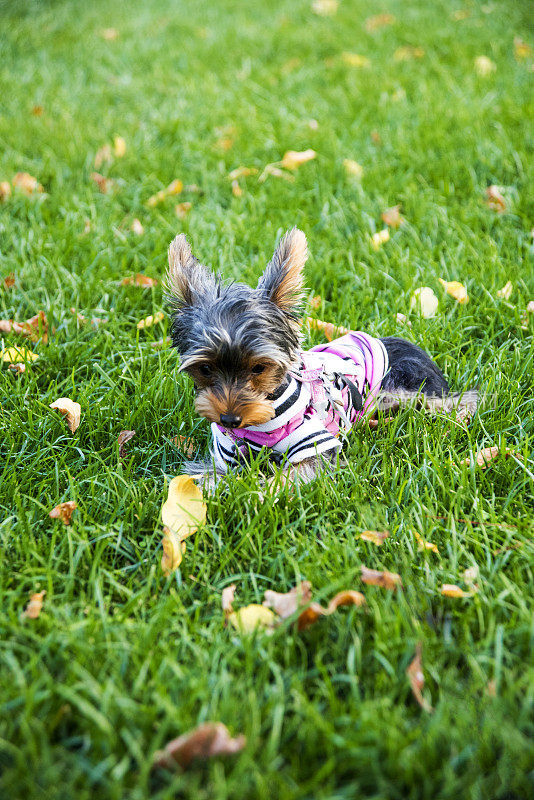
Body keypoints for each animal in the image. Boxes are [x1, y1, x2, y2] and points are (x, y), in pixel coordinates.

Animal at [166, 228, 478, 490]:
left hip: (405, 385)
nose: (230, 419)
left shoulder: (313, 444)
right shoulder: (225, 456)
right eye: (205, 368)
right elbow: (201, 481)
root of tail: (405, 344)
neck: (261, 421)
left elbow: (288, 477)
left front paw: (257, 493)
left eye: (259, 368)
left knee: (457, 400)